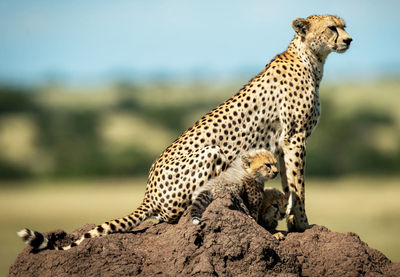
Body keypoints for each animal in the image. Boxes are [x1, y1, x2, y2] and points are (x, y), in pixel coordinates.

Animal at [18, 14, 352, 249]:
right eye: (332, 28)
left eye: (344, 26)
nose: (349, 40)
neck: (312, 59)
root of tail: (147, 192)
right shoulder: (295, 137)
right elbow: (298, 185)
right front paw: (303, 225)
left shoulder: (284, 144)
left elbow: (288, 184)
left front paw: (293, 221)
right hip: (212, 153)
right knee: (175, 215)